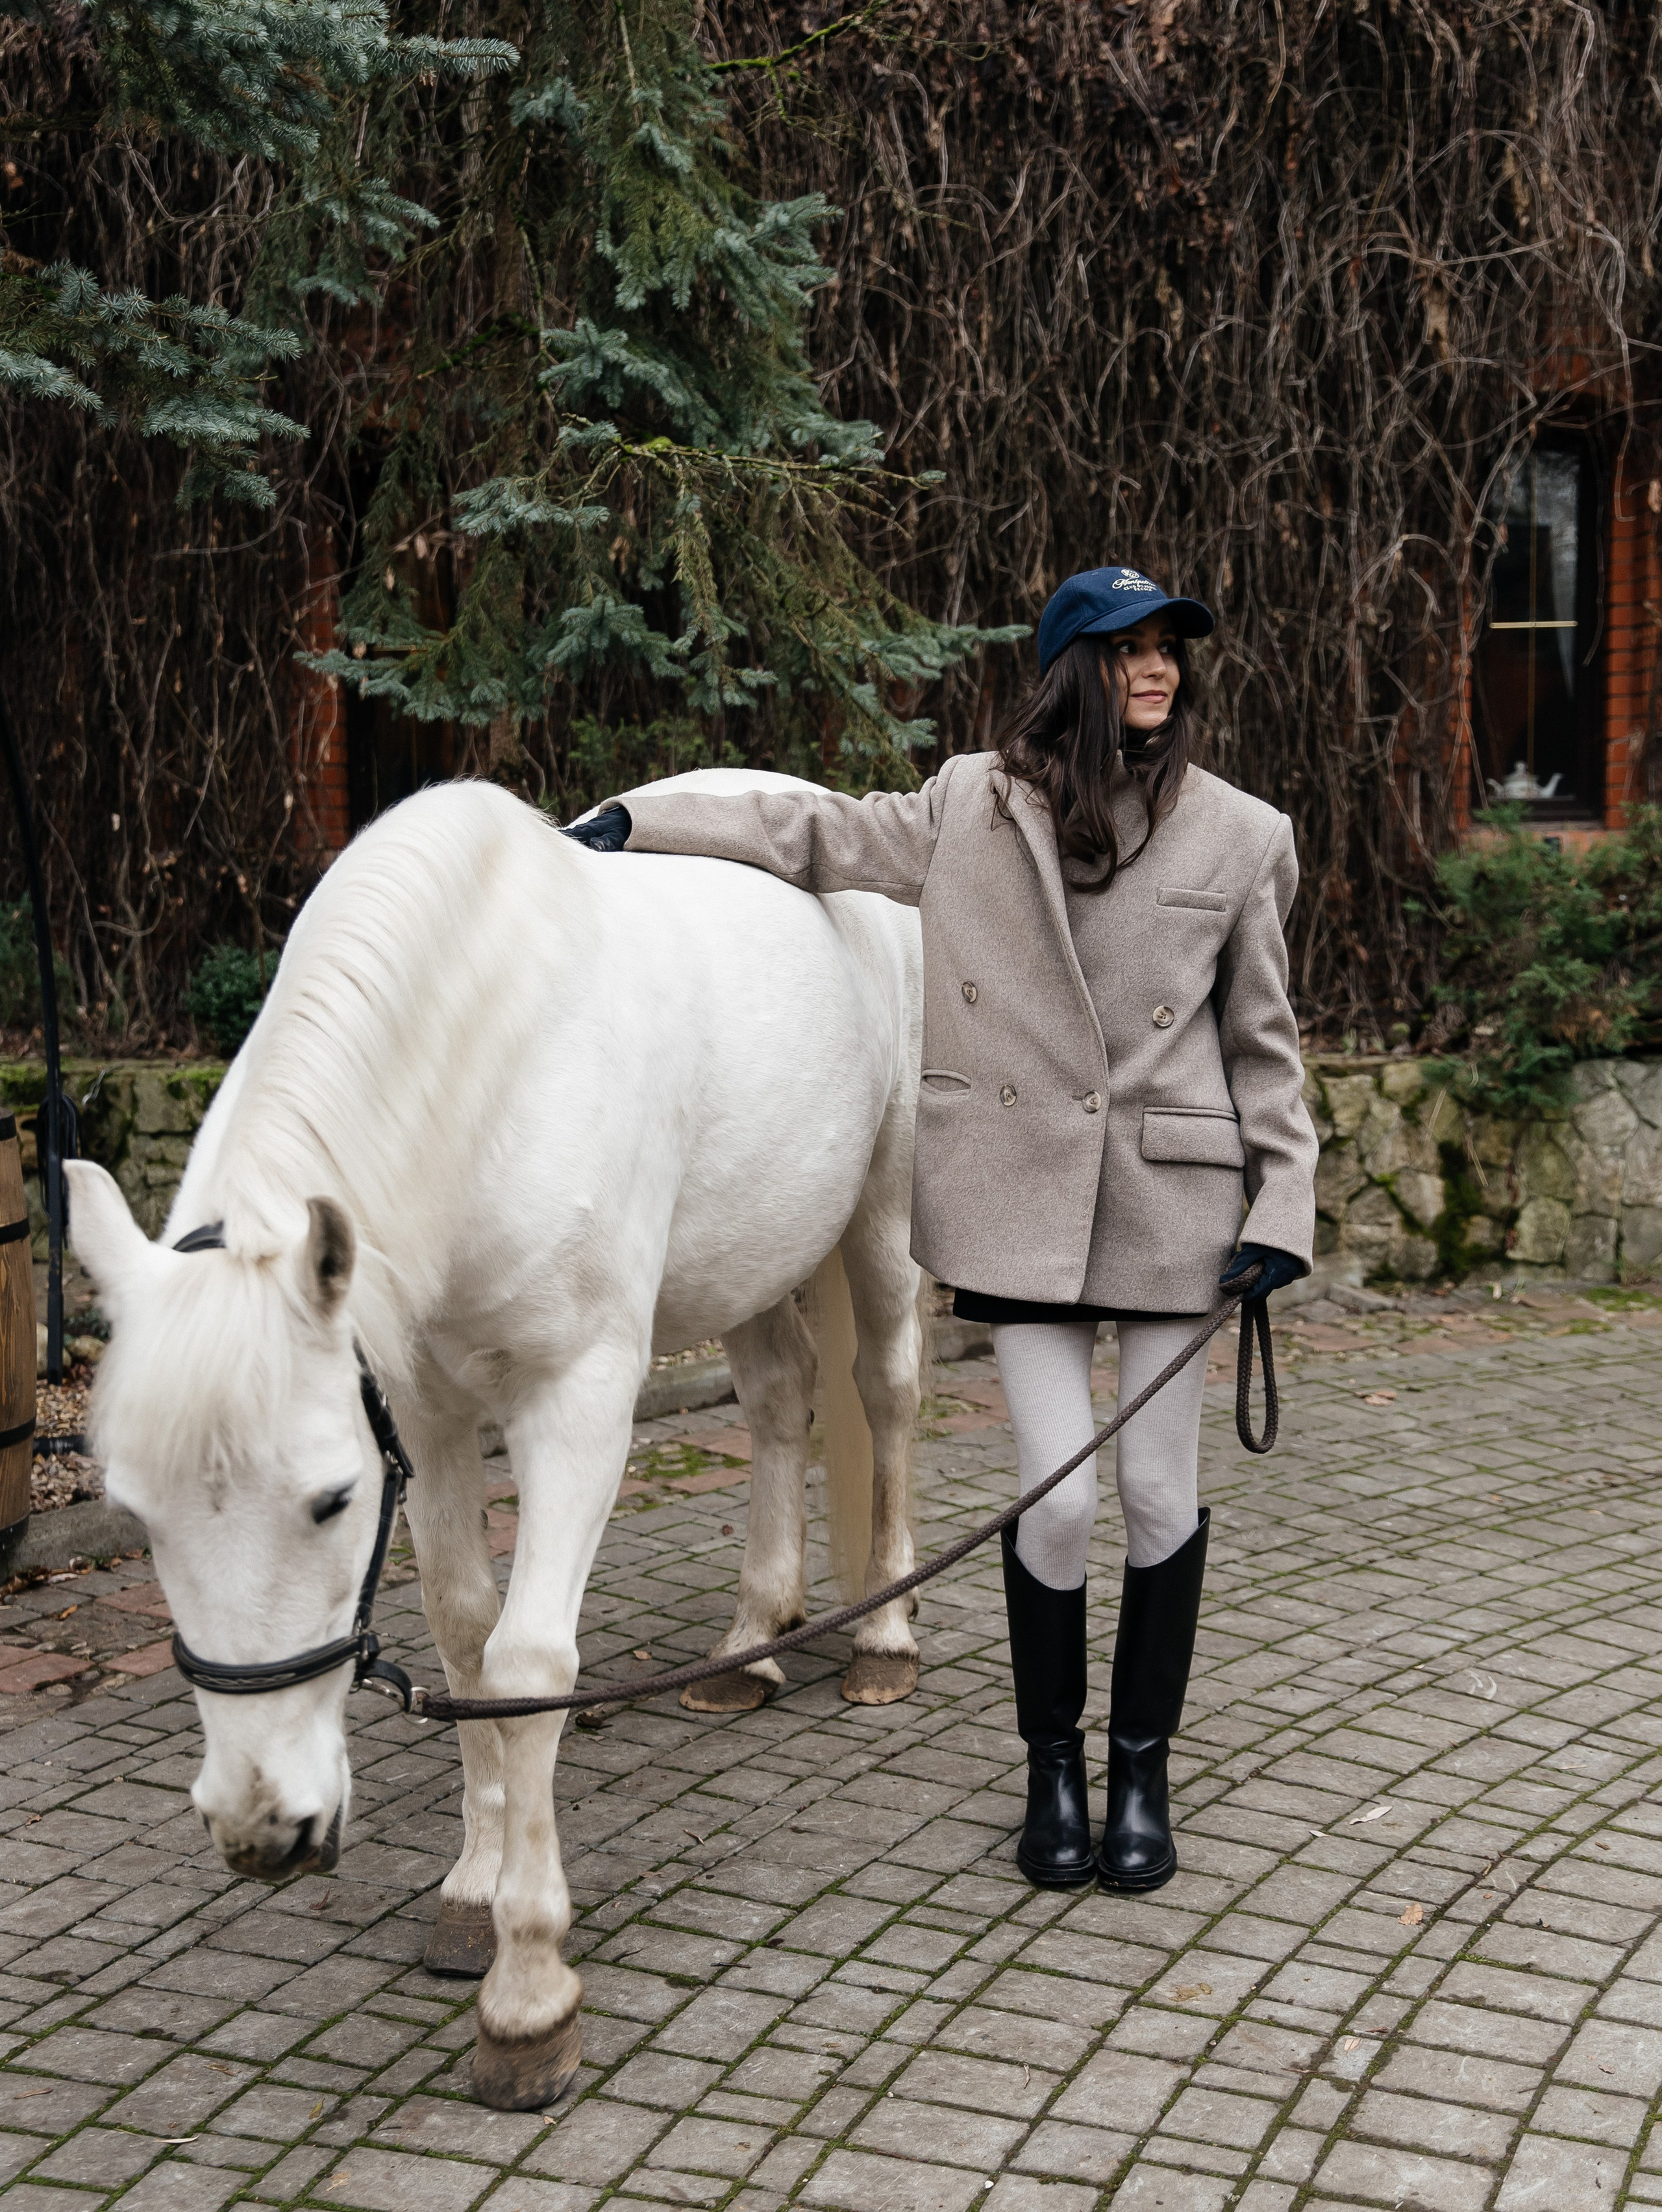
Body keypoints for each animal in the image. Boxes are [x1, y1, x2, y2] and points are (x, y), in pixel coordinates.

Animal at [67, 769, 928, 2110]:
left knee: (884, 1385)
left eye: (328, 1501)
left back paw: (885, 1634)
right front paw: (473, 1893)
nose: (263, 1829)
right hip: (747, 1254)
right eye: (138, 1513)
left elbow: (526, 1667)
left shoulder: (576, 1402)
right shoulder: (421, 1407)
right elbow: (467, 1633)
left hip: (881, 1209)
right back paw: (749, 1642)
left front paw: (528, 1993)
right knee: (782, 1399)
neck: (490, 1071)